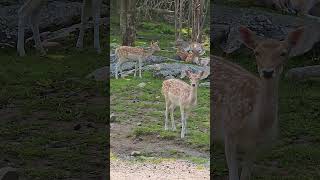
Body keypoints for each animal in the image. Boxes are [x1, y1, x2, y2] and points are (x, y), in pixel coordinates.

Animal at [212, 26, 304, 180]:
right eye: (256, 52)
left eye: (283, 53)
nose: (267, 72)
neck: (255, 124)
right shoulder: (229, 131)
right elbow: (233, 175)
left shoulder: (256, 144)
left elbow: (245, 176)